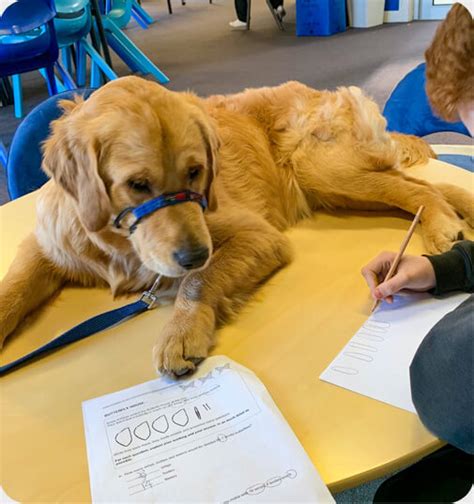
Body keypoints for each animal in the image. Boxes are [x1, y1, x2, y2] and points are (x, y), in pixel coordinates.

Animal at [0, 77, 472, 376]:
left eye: (196, 172)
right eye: (137, 184)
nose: (194, 254)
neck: (119, 244)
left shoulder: (256, 234)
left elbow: (199, 282)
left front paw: (181, 332)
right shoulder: (47, 246)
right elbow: (15, 287)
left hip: (323, 170)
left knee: (417, 190)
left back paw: (441, 225)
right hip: (332, 187)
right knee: (431, 184)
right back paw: (456, 213)